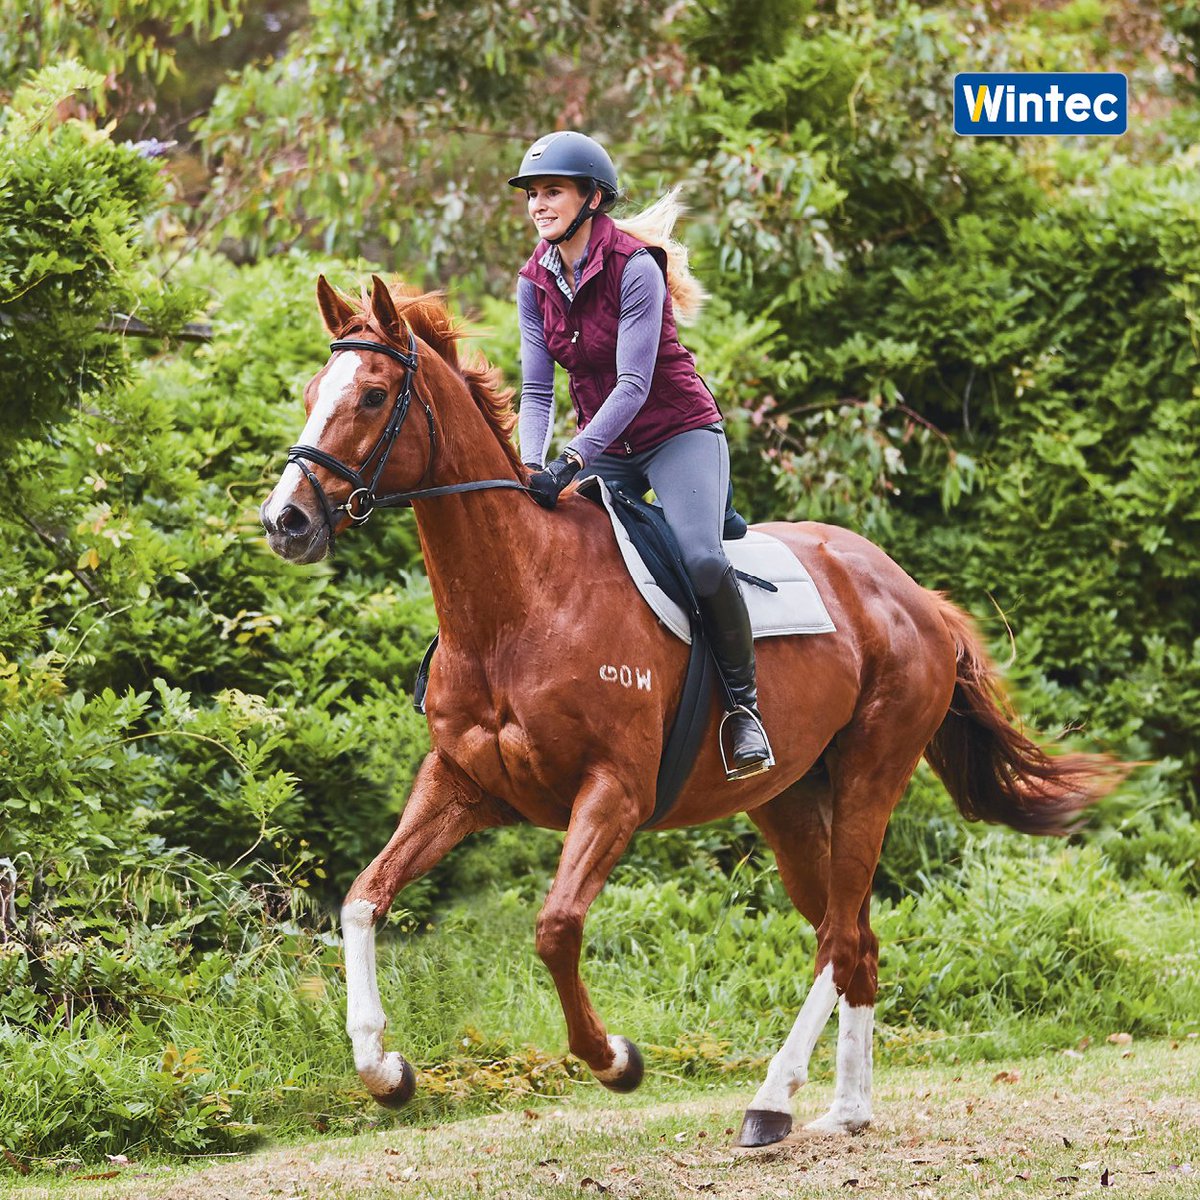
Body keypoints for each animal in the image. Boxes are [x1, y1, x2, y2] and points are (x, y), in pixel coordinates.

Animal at [260, 275, 1123, 1146]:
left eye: (373, 395)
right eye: (310, 393)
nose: (285, 521)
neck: (516, 604)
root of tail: (911, 593)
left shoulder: (614, 793)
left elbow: (556, 927)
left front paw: (615, 1060)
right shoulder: (461, 788)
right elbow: (364, 898)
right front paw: (384, 1070)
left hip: (870, 781)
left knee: (839, 938)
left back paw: (773, 1099)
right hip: (789, 802)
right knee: (853, 942)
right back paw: (843, 1110)